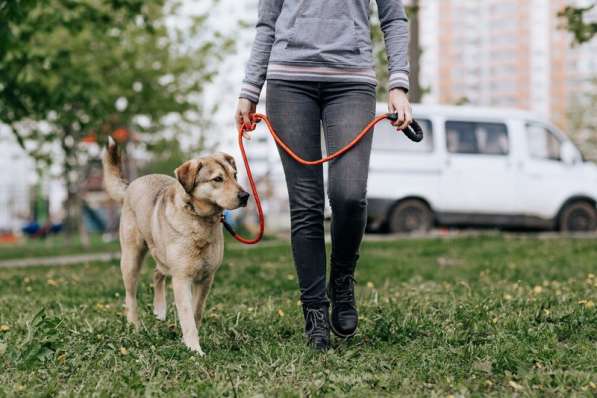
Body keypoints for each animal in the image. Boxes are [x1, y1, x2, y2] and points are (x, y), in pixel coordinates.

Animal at [101, 138, 248, 354]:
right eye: (217, 179)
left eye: (235, 175)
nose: (245, 196)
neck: (199, 219)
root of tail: (131, 185)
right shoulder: (181, 279)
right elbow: (187, 316)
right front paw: (195, 349)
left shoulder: (206, 278)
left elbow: (196, 312)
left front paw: (187, 341)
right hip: (131, 259)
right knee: (131, 297)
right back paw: (134, 326)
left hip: (161, 256)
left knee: (157, 273)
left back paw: (159, 310)